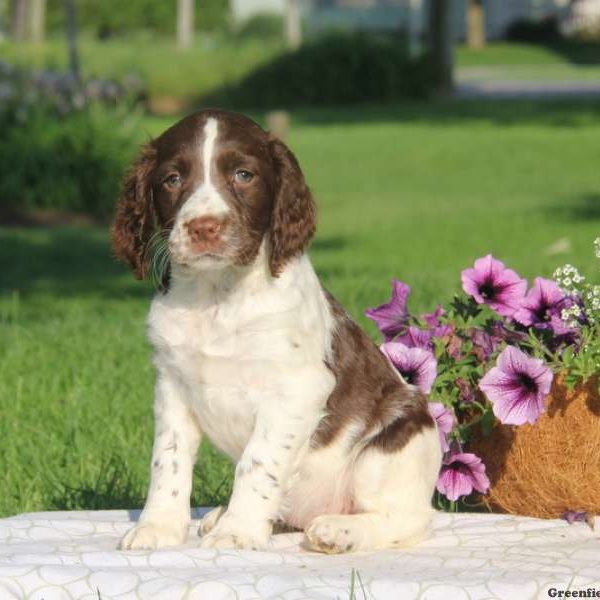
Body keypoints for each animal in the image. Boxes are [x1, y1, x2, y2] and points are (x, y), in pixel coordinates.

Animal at [112, 109, 440, 552]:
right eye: (172, 179)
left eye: (244, 175)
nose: (204, 227)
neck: (217, 295)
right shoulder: (172, 387)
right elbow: (168, 459)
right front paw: (158, 527)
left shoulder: (296, 388)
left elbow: (258, 462)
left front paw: (237, 532)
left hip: (393, 442)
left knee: (409, 518)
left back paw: (338, 530)